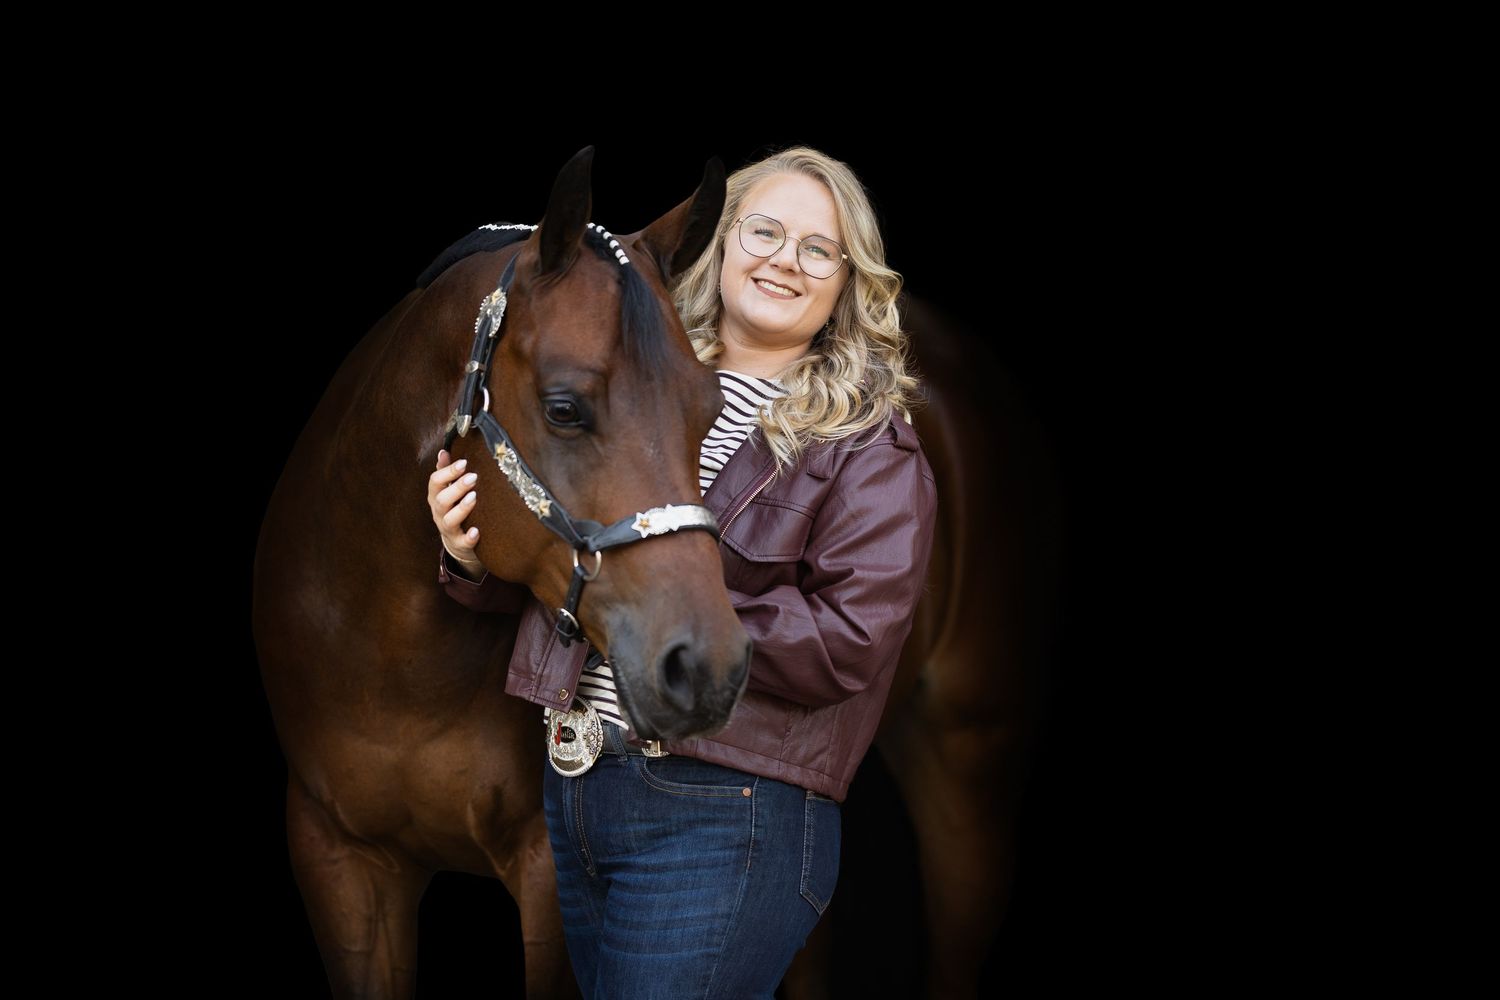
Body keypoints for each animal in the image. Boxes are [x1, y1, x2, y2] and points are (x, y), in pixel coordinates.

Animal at [252, 146, 753, 999]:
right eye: (563, 408)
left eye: (709, 408)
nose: (707, 668)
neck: (393, 656)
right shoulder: (338, 858)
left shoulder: (549, 872)